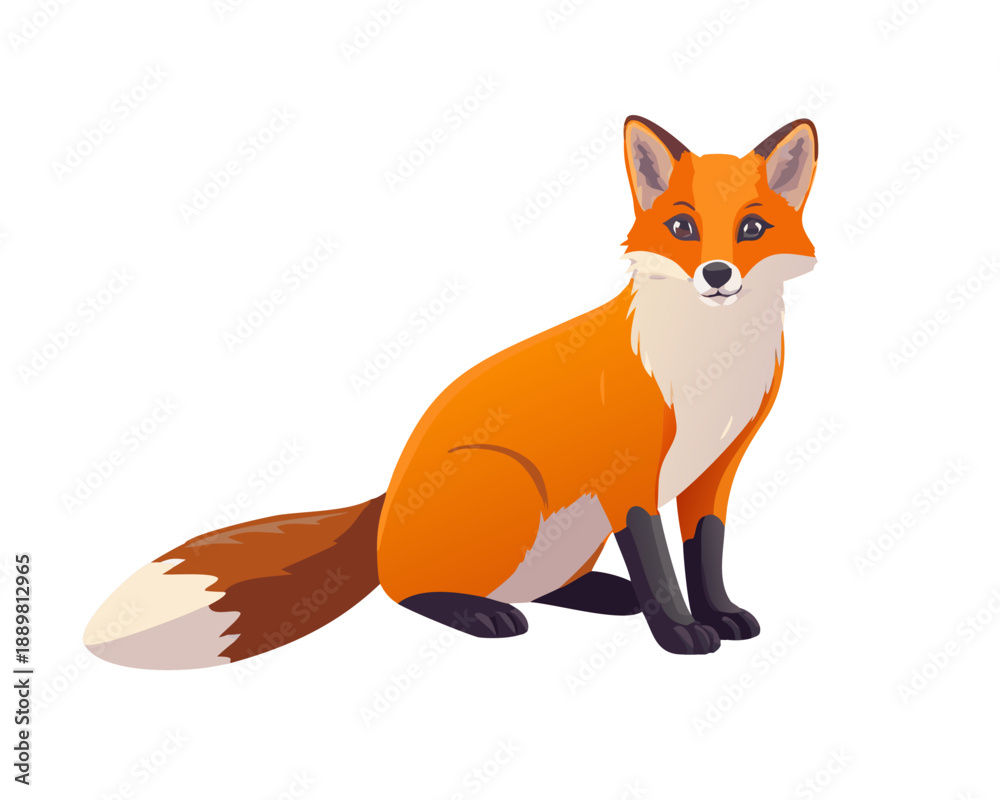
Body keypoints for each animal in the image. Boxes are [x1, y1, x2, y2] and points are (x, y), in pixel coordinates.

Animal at [84, 115, 818, 667]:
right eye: (683, 228)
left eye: (751, 229)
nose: (717, 275)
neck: (706, 365)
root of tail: (384, 501)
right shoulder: (628, 475)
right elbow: (660, 567)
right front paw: (680, 632)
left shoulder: (715, 469)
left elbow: (705, 554)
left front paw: (719, 614)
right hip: (510, 487)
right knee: (404, 591)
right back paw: (479, 613)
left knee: (536, 586)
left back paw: (603, 595)